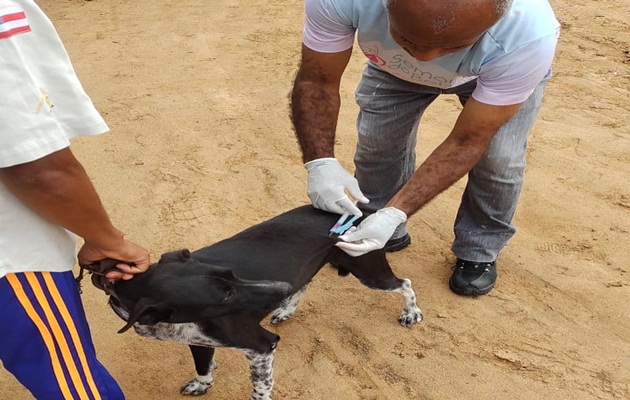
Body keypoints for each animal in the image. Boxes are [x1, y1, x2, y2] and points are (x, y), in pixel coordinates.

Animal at [86, 206, 424, 400]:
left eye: (231, 274)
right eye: (225, 294)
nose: (280, 287)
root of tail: (361, 208)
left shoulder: (261, 346)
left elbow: (260, 388)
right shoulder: (197, 340)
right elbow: (203, 368)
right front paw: (202, 385)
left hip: (368, 269)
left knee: (405, 284)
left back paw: (412, 313)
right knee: (304, 284)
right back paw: (286, 308)